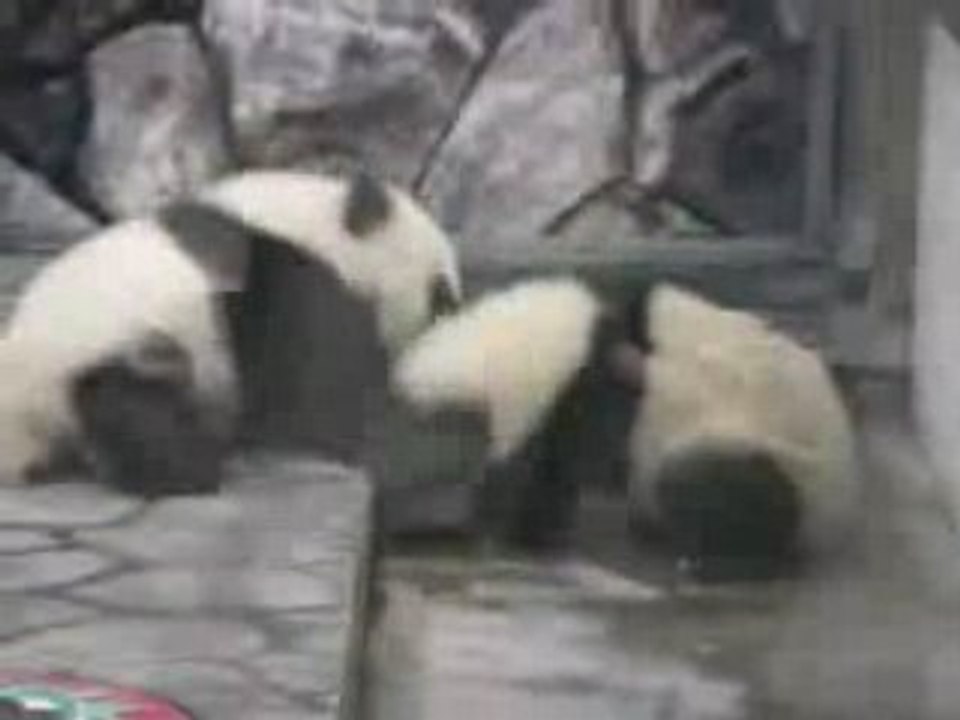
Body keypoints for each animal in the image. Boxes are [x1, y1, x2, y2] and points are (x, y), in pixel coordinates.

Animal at [0, 169, 461, 497]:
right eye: (439, 295)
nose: (451, 318)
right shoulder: (295, 281)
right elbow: (334, 400)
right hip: (117, 353)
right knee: (138, 413)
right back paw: (194, 467)